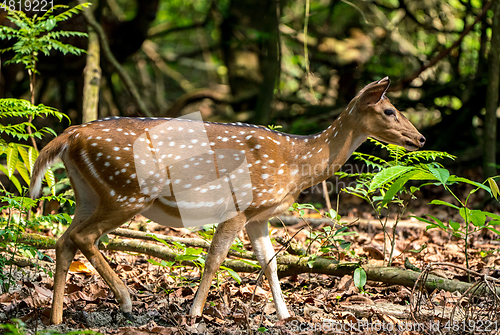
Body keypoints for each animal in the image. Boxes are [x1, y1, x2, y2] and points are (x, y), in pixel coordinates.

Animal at [29, 77, 424, 326]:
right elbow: (215, 258)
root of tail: (70, 135)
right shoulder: (239, 206)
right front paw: (194, 313)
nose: (420, 138)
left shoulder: (259, 215)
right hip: (126, 191)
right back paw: (126, 301)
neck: (297, 163)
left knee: (64, 239)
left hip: (89, 193)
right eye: (390, 111)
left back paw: (56, 317)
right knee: (83, 237)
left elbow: (270, 264)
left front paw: (286, 316)